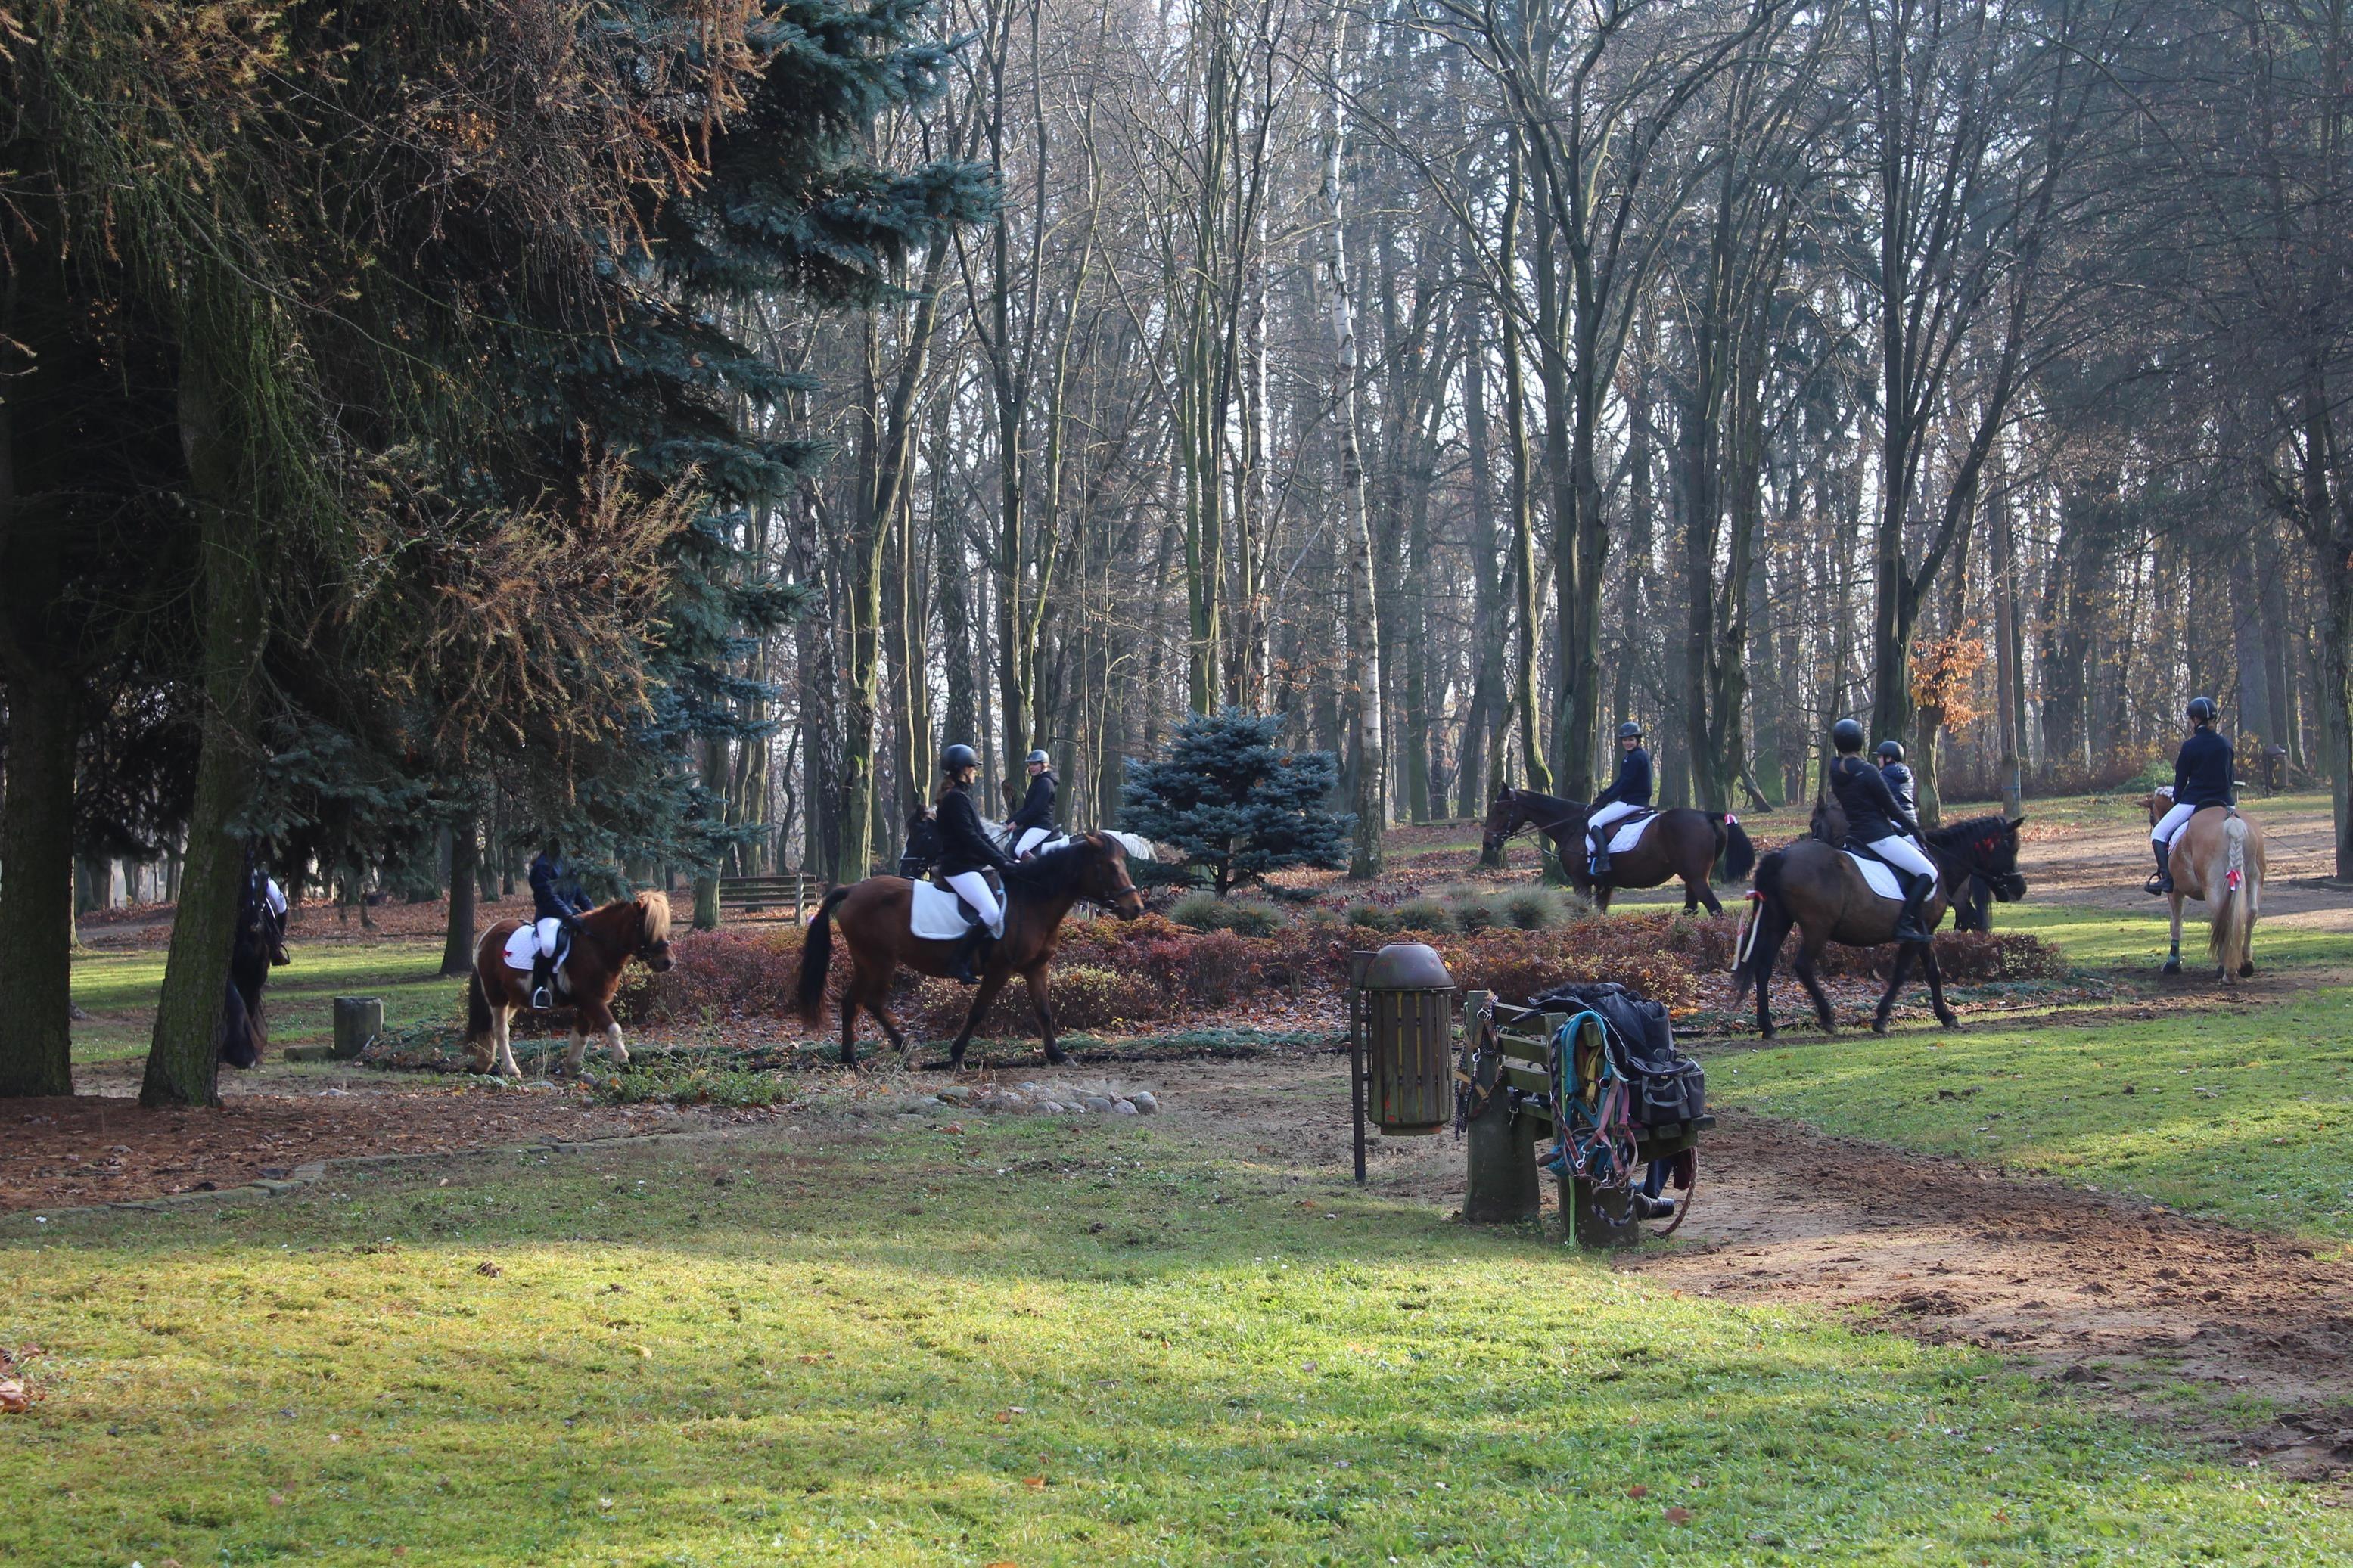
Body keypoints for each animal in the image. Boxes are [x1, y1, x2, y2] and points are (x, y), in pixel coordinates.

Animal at [463, 893, 677, 1081]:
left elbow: (581, 1035)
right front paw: (624, 1062)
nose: (668, 962)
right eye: (644, 925)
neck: (596, 946)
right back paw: (511, 1069)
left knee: (494, 1028)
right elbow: (614, 1029)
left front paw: (573, 1068)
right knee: (501, 1030)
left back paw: (485, 1062)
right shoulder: (592, 999)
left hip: (512, 999)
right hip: (496, 995)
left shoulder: (589, 1002)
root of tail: (488, 935)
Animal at [795, 827, 1152, 1072]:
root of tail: (852, 889)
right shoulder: (1000, 970)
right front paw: (956, 1055)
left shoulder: (1036, 968)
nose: (1136, 908)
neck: (1032, 899)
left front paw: (1058, 1054)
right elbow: (978, 1011)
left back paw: (855, 1057)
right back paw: (897, 1050)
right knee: (869, 1001)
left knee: (855, 1002)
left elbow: (1044, 1011)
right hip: (878, 960)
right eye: (1110, 867)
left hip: (867, 961)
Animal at [1478, 790, 1760, 911]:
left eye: (1500, 810)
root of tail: (1705, 814)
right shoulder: (1605, 885)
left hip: (1697, 877)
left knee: (1715, 908)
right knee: (1691, 909)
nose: (1488, 843)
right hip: (1692, 878)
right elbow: (1600, 914)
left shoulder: (1581, 883)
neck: (1571, 825)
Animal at [1731, 818, 2023, 1034]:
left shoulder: (1924, 932)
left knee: (1763, 968)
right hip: (1817, 927)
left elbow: (1933, 971)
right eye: (2011, 848)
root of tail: (1782, 857)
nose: (2019, 887)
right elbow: (1903, 972)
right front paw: (1882, 1018)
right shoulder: (1918, 932)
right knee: (1802, 965)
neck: (1940, 862)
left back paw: (1768, 1026)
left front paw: (1945, 1015)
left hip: (1778, 923)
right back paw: (1827, 1017)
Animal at [2146, 785, 2268, 983]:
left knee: (2222, 917)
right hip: (2254, 877)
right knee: (2251, 913)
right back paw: (2246, 964)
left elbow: (2176, 925)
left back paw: (2227, 971)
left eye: (2151, 815)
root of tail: (2231, 821)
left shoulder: (2175, 891)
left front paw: (2172, 964)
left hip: (2214, 886)